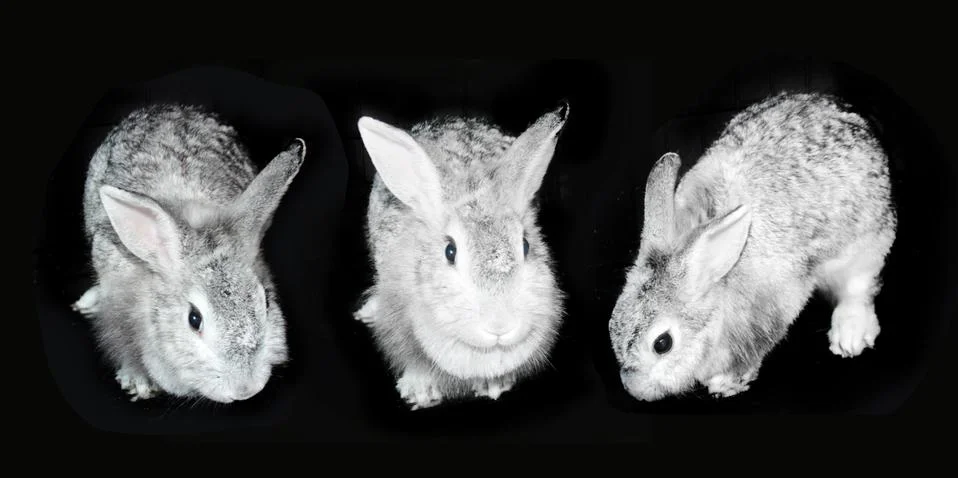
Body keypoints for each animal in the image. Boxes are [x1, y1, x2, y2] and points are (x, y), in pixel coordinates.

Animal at [608, 92, 897, 401]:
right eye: (612, 325)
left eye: (662, 343)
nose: (635, 391)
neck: (717, 277)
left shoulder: (768, 315)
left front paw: (725, 384)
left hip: (865, 248)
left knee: (858, 289)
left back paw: (850, 337)